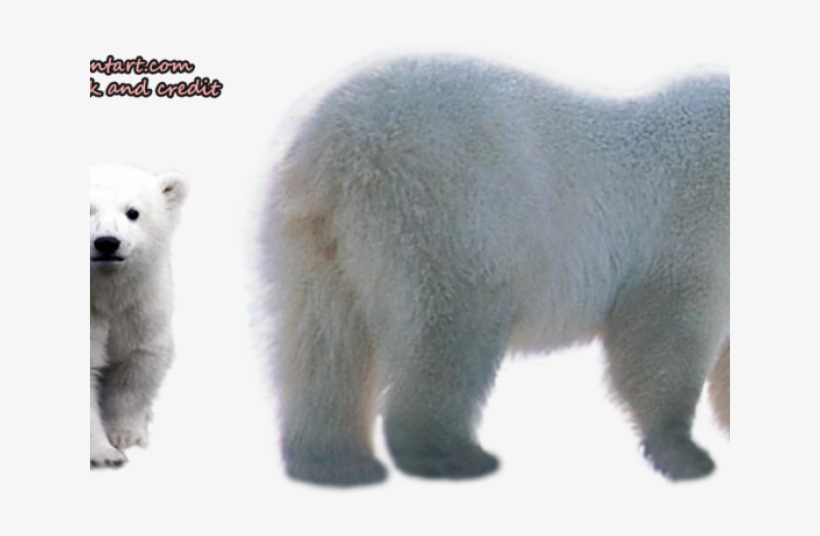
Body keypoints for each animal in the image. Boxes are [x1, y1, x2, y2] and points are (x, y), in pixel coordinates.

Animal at [90, 163, 188, 468]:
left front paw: (124, 435)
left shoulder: (141, 305)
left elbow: (137, 361)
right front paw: (104, 453)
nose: (107, 243)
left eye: (133, 212)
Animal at [259, 55, 729, 486]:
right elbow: (667, 326)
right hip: (450, 210)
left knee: (324, 341)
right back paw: (451, 454)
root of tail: (337, 140)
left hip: (313, 239)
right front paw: (685, 453)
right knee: (449, 333)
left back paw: (335, 461)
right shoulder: (696, 215)